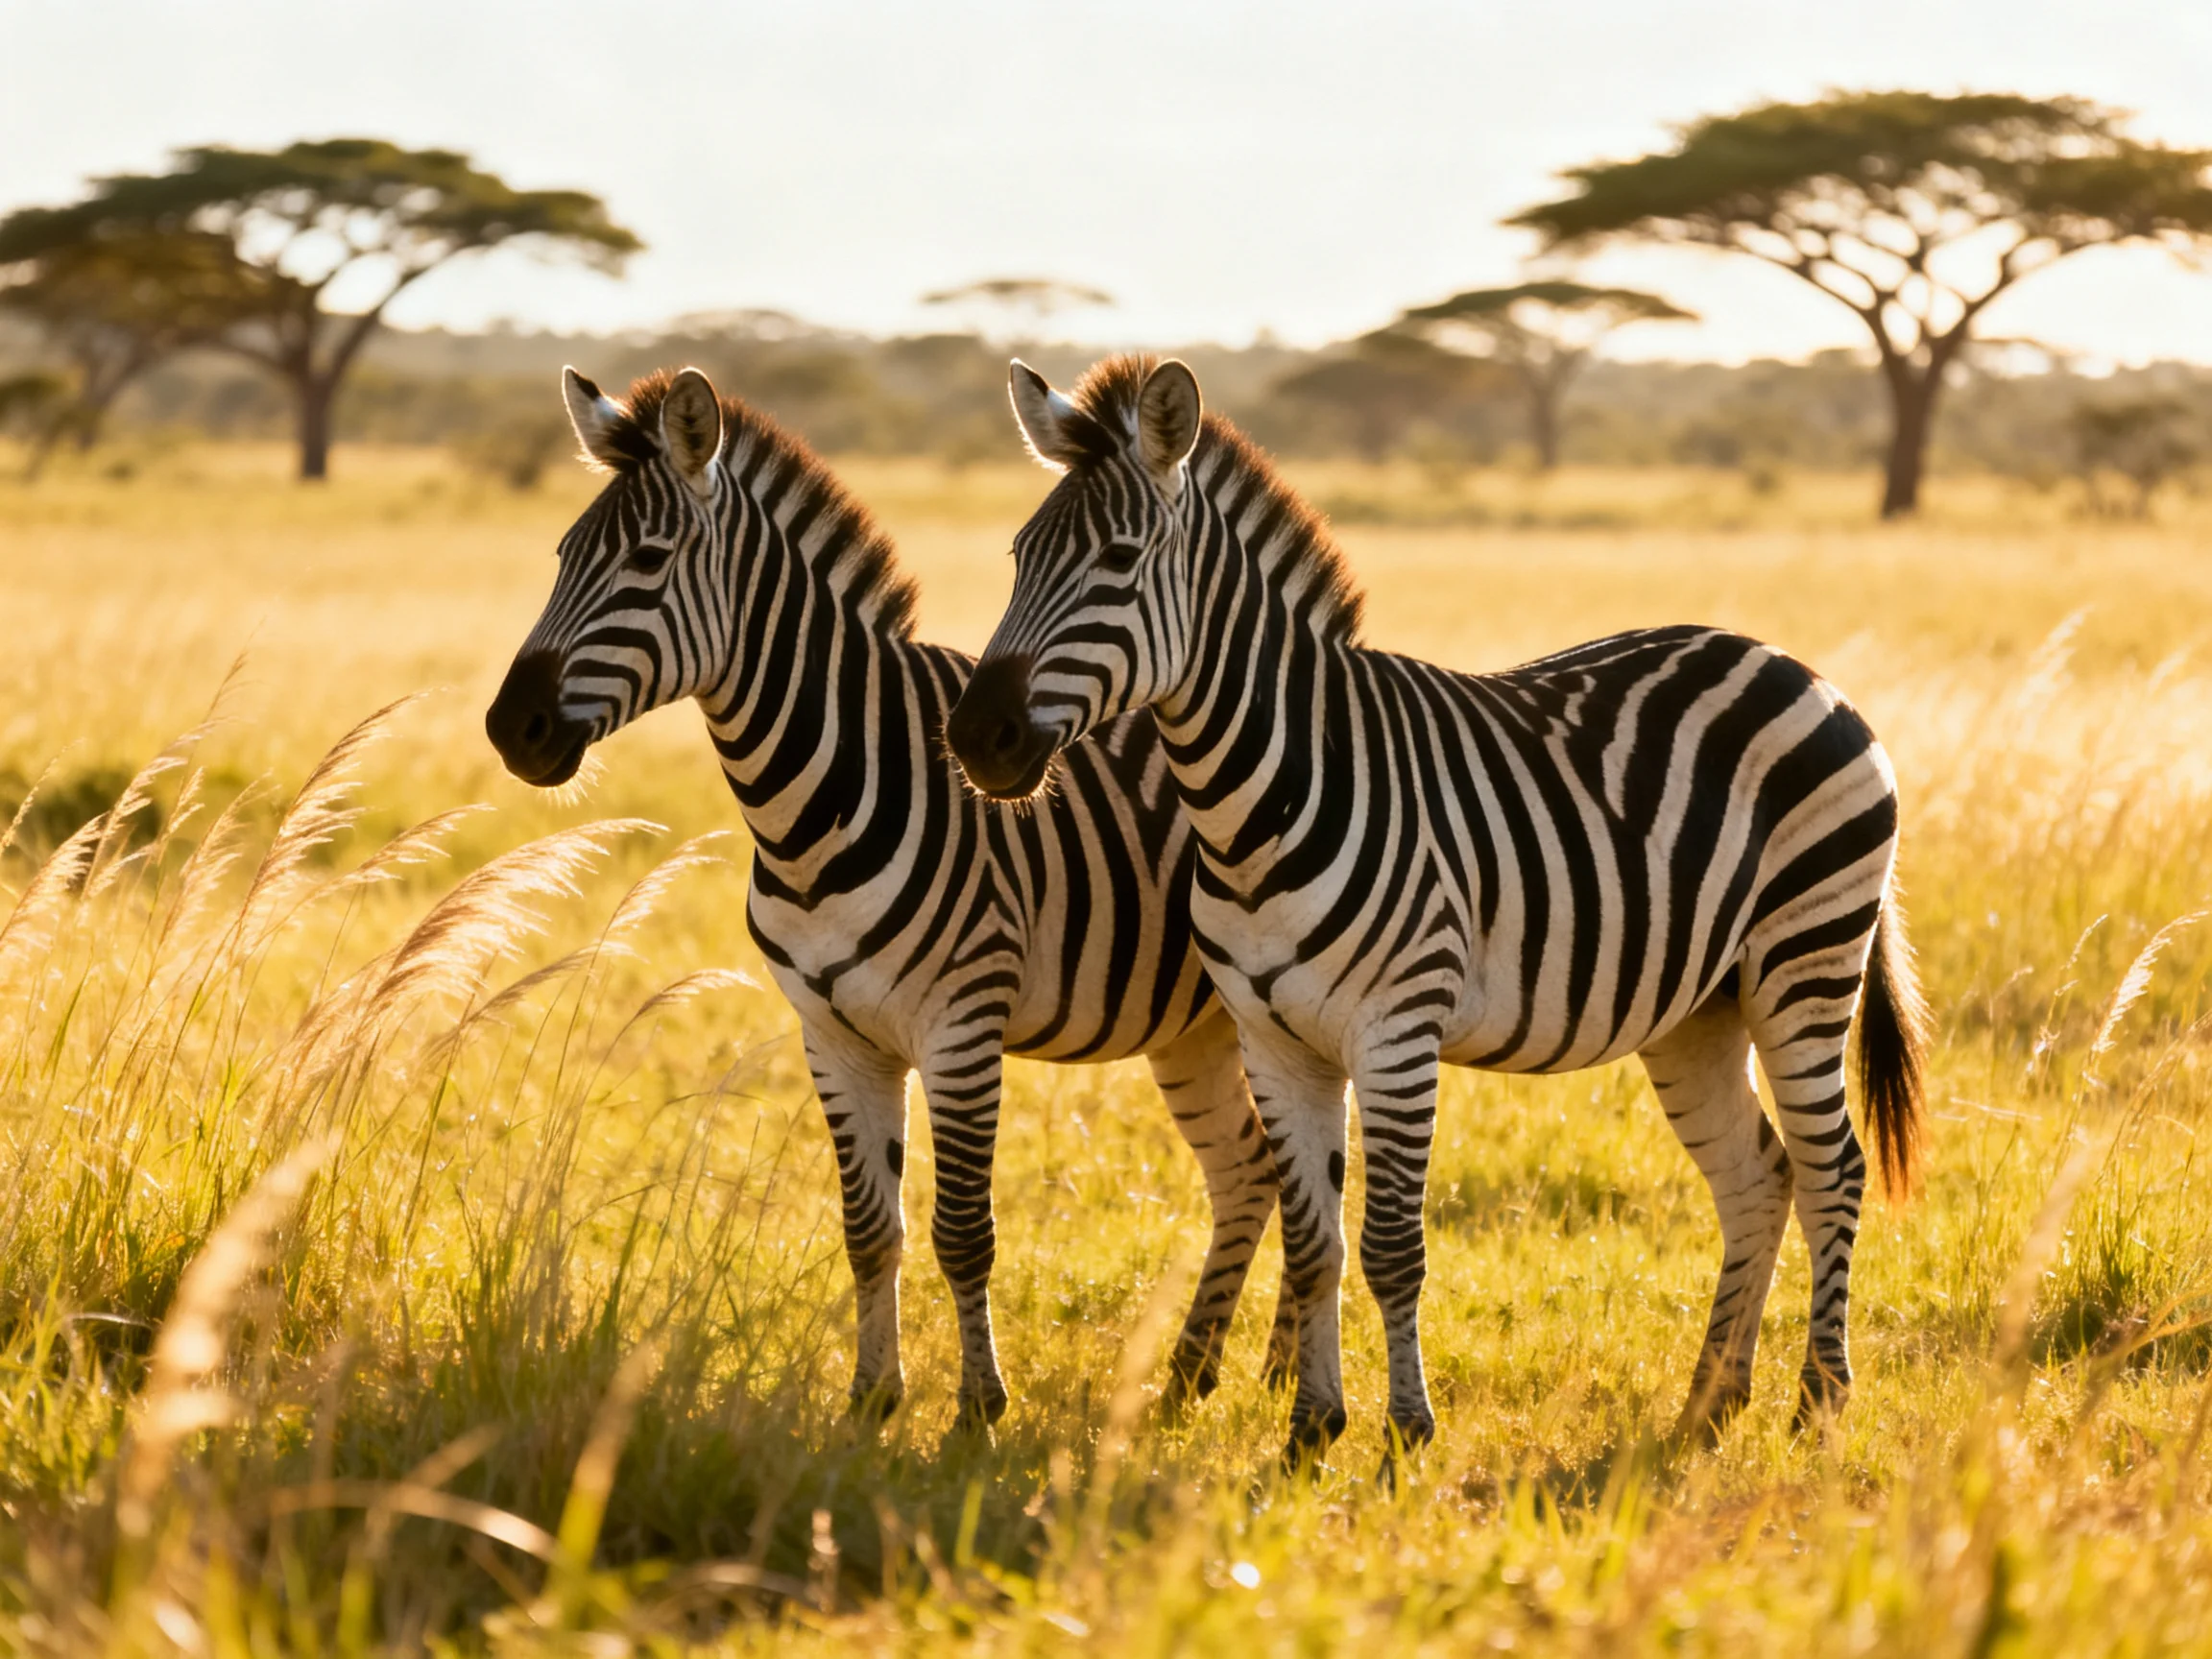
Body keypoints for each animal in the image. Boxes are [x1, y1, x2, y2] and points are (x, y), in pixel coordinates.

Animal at [484, 364, 1297, 1428]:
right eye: (563, 555)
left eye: (648, 561)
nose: (512, 728)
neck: (820, 802)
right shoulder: (834, 1036)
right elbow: (869, 1227)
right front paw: (872, 1401)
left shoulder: (960, 1027)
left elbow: (961, 1230)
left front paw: (977, 1413)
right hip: (1195, 1027)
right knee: (1249, 1169)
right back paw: (1202, 1378)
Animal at [946, 354, 1929, 1465]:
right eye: (1020, 556)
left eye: (1117, 560)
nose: (976, 738)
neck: (1260, 800)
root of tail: (1794, 665)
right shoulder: (1274, 1041)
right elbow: (1314, 1240)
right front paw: (1311, 1430)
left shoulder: (1397, 1029)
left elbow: (1390, 1246)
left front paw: (1406, 1432)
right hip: (1698, 1009)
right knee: (1758, 1175)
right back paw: (1708, 1406)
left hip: (1806, 960)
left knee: (1833, 1167)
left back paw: (1820, 1405)